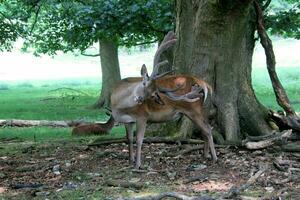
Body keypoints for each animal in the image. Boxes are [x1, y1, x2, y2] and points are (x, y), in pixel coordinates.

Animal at [109, 31, 217, 169]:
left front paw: (137, 165)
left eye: (153, 94)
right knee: (205, 129)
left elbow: (139, 140)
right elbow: (129, 139)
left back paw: (214, 158)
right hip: (200, 110)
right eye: (143, 83)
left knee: (208, 129)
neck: (118, 107)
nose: (139, 99)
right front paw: (130, 161)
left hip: (193, 109)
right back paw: (205, 155)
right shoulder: (128, 121)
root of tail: (204, 83)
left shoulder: (142, 116)